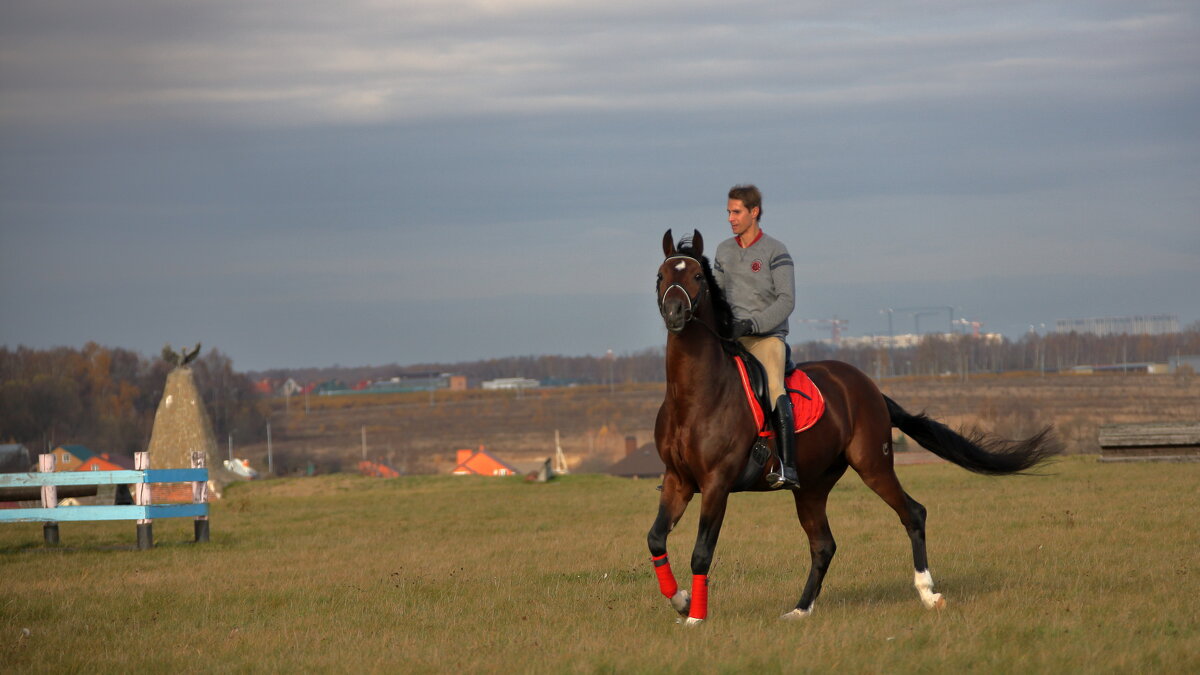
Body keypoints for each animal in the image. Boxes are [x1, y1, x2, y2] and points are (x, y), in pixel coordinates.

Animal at [648, 228, 1060, 624]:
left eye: (697, 276)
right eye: (661, 276)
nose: (674, 313)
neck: (695, 395)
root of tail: (869, 387)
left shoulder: (717, 483)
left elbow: (701, 552)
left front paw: (695, 617)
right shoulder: (678, 480)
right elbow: (656, 539)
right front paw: (681, 600)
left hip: (873, 465)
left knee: (913, 513)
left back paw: (929, 593)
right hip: (812, 487)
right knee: (823, 545)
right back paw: (800, 610)